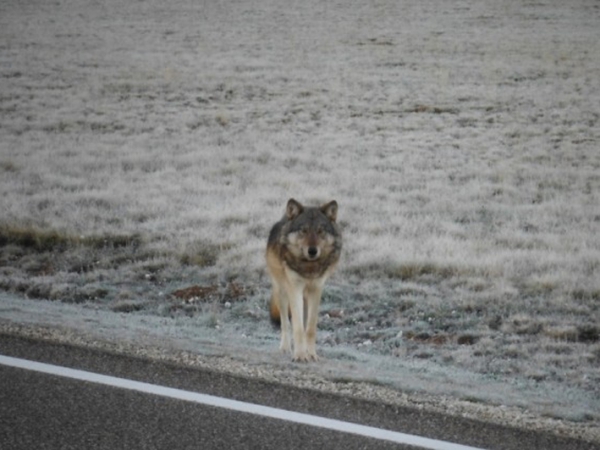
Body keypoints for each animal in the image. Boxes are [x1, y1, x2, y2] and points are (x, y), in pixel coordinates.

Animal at [268, 199, 342, 360]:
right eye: (304, 230)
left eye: (320, 231)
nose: (312, 251)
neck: (309, 267)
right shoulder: (294, 288)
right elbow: (297, 327)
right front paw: (300, 356)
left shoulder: (316, 289)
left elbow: (310, 328)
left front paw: (311, 354)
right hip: (282, 292)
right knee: (285, 322)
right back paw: (285, 348)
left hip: (306, 297)